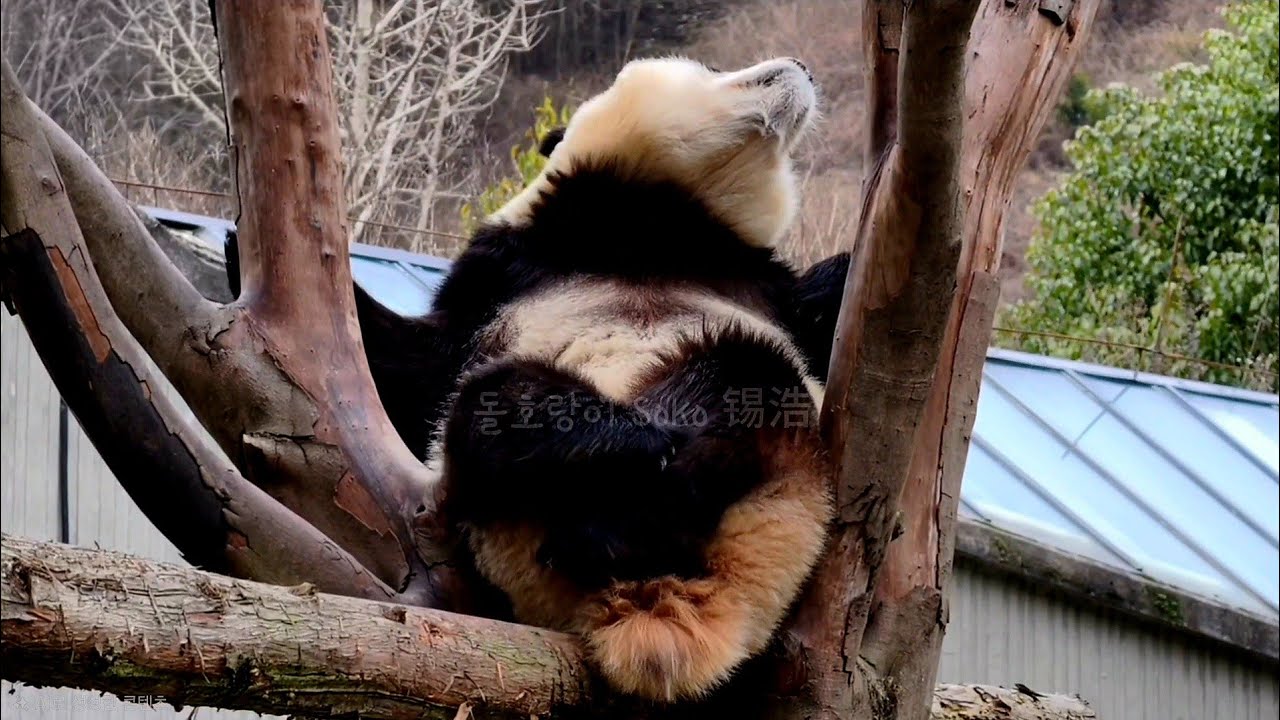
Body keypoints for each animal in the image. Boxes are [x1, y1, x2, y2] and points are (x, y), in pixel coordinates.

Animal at [225, 55, 853, 702]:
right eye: (706, 68)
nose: (798, 67)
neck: (661, 225)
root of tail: (654, 604)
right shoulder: (500, 272)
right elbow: (415, 368)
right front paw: (237, 247)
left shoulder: (771, 293)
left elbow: (820, 310)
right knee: (500, 407)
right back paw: (615, 457)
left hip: (790, 473)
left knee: (743, 380)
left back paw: (635, 493)